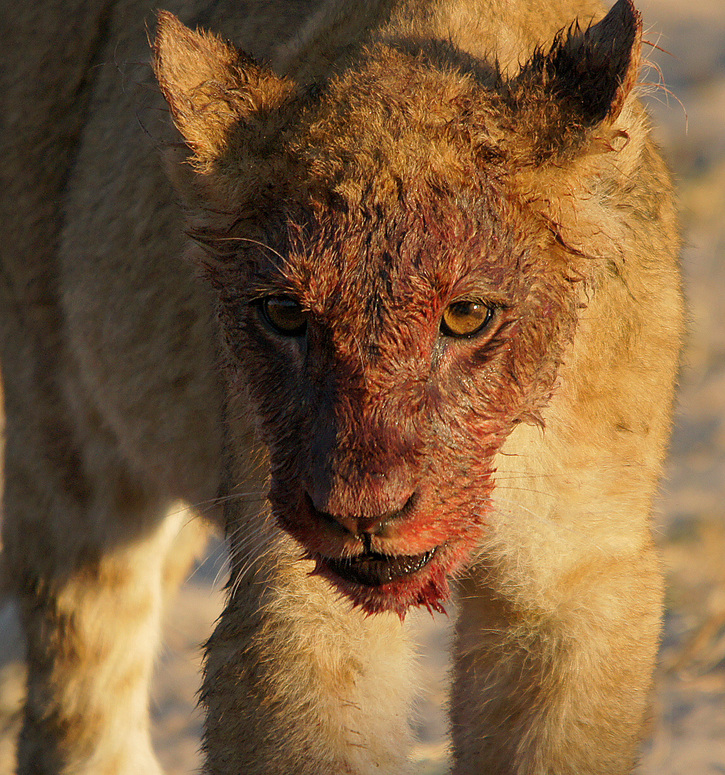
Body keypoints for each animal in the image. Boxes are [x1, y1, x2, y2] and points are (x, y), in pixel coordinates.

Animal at [0, 0, 680, 772]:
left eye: (467, 315)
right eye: (284, 314)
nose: (360, 516)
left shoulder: (575, 580)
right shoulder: (297, 593)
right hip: (71, 447)